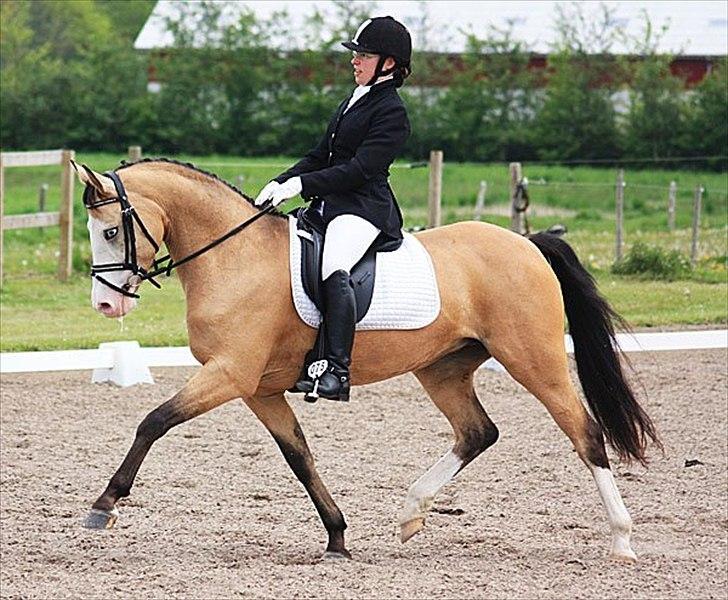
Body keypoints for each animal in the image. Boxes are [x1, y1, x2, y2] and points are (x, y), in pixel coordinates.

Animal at [73, 158, 659, 562]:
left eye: (111, 231)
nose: (106, 305)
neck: (233, 257)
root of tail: (527, 244)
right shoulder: (258, 388)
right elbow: (300, 457)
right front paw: (337, 536)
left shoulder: (229, 374)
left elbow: (154, 421)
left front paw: (104, 505)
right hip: (442, 369)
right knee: (478, 432)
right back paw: (410, 514)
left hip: (534, 360)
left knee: (585, 434)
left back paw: (622, 541)